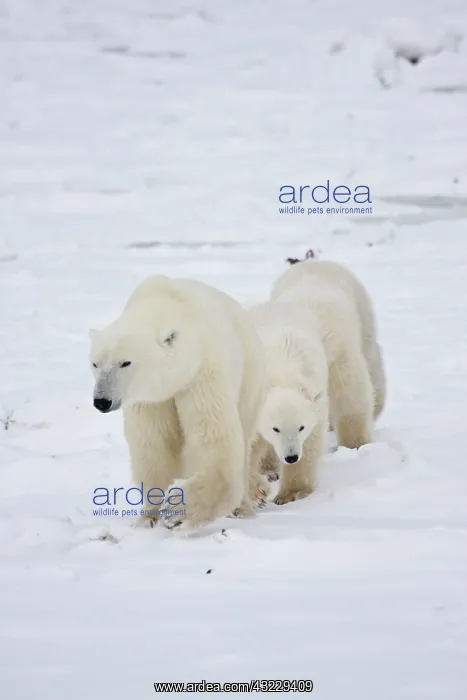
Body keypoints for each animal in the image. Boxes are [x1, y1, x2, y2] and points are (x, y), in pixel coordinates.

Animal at [89, 275, 267, 531]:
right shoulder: (151, 400)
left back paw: (242, 508)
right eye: (95, 363)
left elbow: (214, 439)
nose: (102, 401)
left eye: (125, 362)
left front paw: (176, 511)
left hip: (249, 377)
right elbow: (154, 444)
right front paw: (149, 516)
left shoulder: (203, 373)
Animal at [248, 301, 329, 505]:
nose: (291, 456)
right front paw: (257, 491)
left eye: (301, 427)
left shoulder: (316, 402)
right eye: (275, 428)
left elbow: (310, 444)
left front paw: (292, 493)